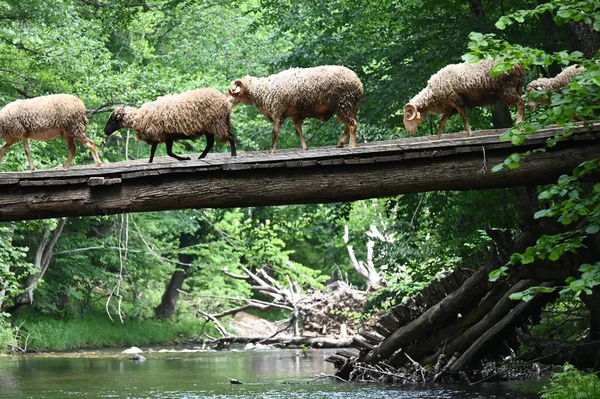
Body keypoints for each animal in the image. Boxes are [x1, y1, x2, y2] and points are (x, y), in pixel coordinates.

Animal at [104, 88, 236, 162]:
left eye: (112, 119)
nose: (106, 131)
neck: (139, 117)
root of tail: (225, 103)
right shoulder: (165, 136)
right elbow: (159, 152)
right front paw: (150, 163)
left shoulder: (158, 133)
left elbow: (164, 152)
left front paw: (184, 158)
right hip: (209, 127)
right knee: (210, 143)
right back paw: (201, 157)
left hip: (216, 123)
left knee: (229, 136)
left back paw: (233, 155)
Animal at [227, 65, 364, 153]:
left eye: (233, 92)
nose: (226, 102)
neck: (264, 90)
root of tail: (359, 83)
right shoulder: (295, 115)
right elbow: (298, 132)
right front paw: (304, 148)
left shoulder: (277, 111)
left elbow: (274, 133)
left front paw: (272, 151)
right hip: (347, 107)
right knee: (348, 125)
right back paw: (340, 143)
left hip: (345, 104)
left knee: (352, 125)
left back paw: (351, 145)